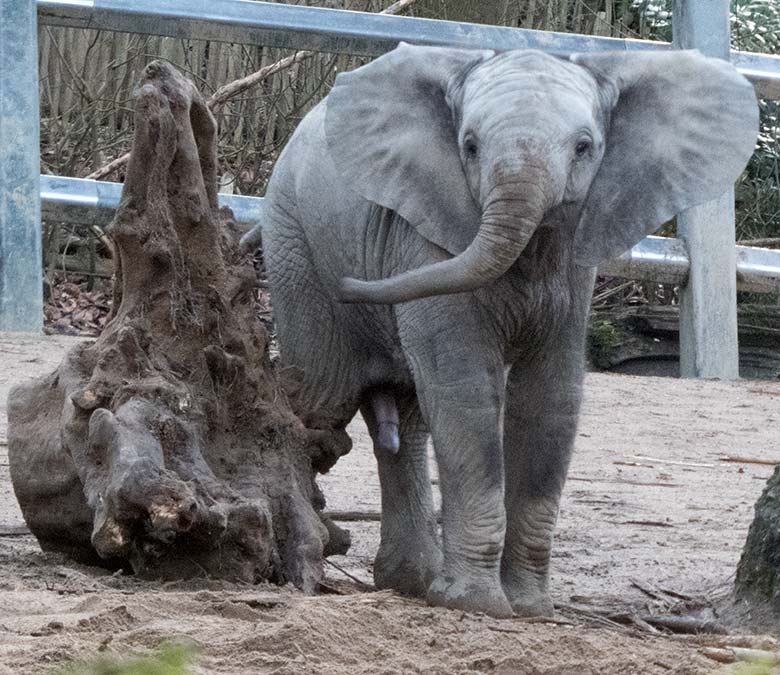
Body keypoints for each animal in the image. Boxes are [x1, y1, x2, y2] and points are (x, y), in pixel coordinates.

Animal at [241, 45, 760, 620]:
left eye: (584, 148)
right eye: (469, 146)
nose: (354, 284)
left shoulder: (574, 267)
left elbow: (550, 399)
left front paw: (530, 608)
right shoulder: (428, 238)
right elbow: (465, 389)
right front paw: (476, 605)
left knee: (407, 418)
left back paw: (411, 581)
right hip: (293, 242)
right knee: (321, 396)